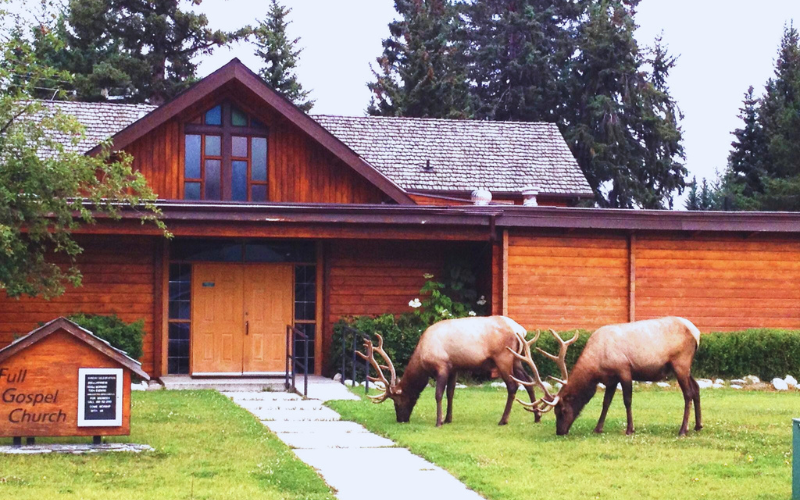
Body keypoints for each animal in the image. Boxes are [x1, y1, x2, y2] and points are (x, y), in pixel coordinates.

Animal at [356, 316, 544, 426]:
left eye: (397, 401)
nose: (401, 419)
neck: (422, 358)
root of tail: (521, 330)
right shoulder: (454, 368)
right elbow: (451, 393)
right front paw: (448, 419)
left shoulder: (442, 366)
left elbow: (439, 394)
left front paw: (438, 421)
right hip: (517, 358)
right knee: (528, 381)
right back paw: (536, 416)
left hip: (503, 357)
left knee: (513, 385)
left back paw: (503, 420)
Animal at [512, 318, 700, 436]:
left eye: (562, 410)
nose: (560, 431)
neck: (597, 365)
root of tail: (697, 334)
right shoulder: (611, 379)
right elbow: (606, 402)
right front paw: (598, 428)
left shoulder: (624, 370)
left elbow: (627, 400)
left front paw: (630, 429)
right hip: (686, 368)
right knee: (696, 388)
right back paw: (698, 425)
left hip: (680, 363)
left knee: (688, 393)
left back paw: (683, 430)